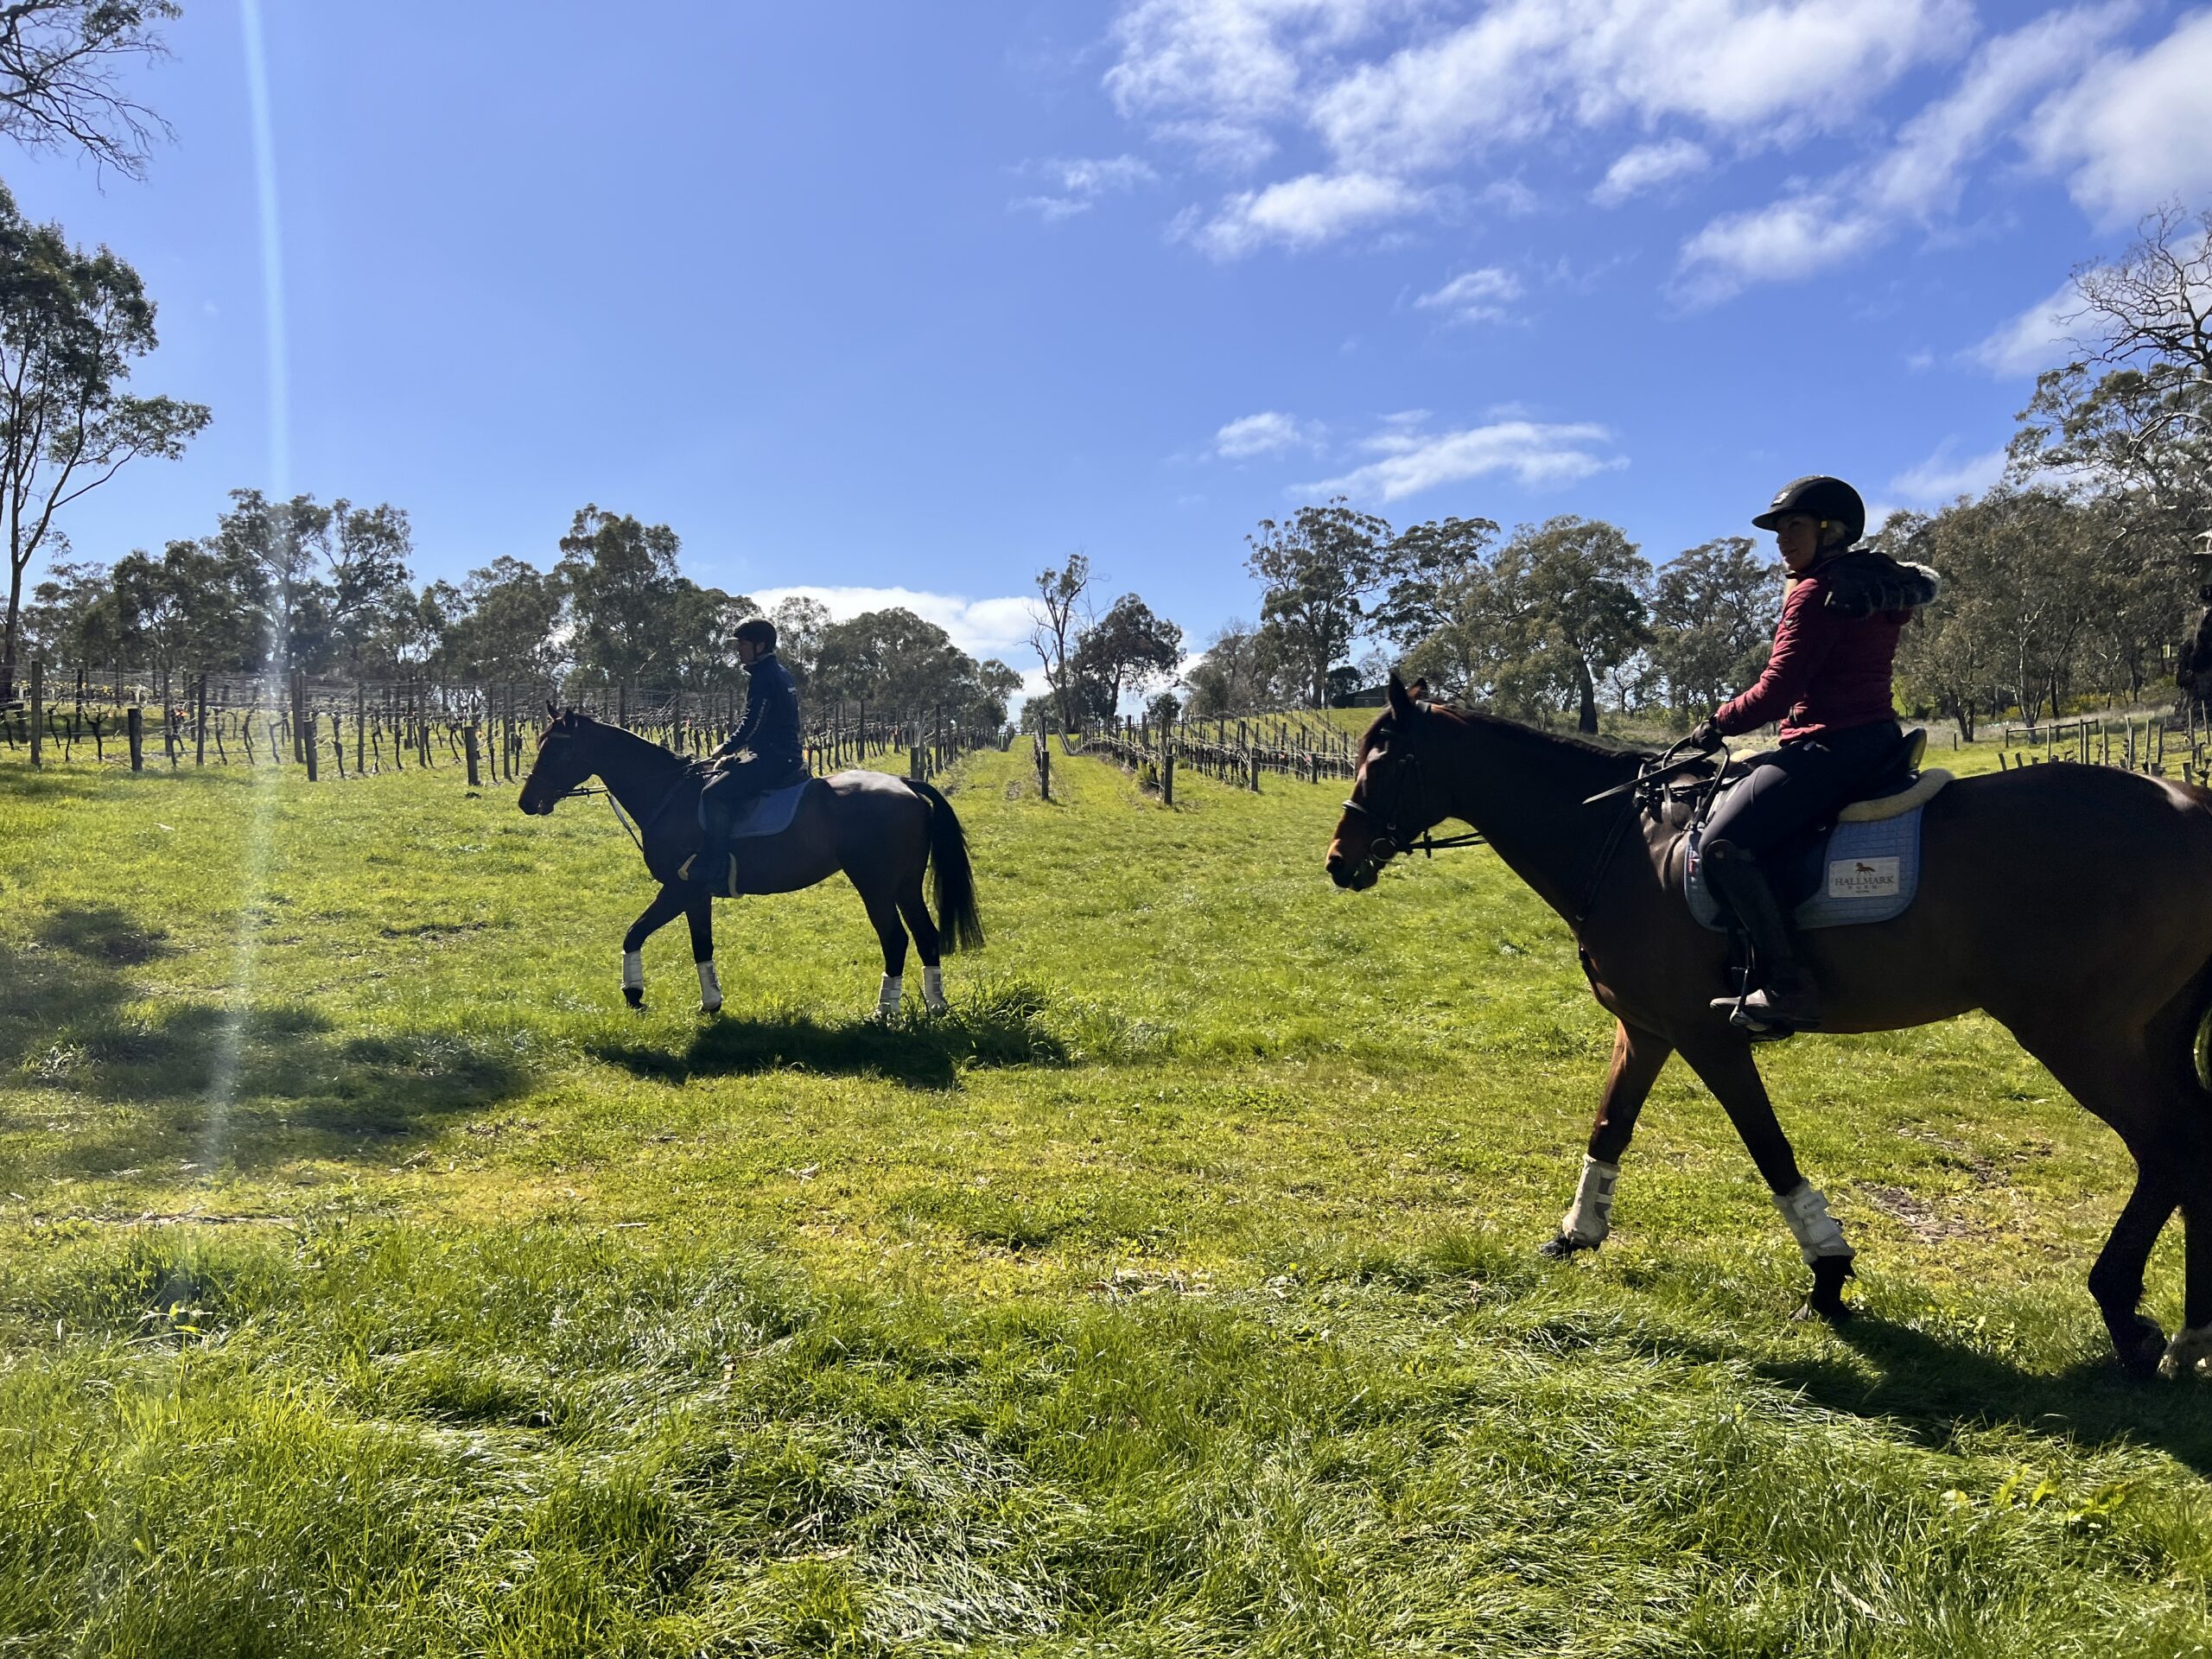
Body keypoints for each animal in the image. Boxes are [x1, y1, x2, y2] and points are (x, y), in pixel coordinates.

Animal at [512, 708, 982, 1021]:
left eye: (557, 751)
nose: (527, 802)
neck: (670, 793)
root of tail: (906, 783)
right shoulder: (695, 894)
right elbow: (701, 944)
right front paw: (710, 1002)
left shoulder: (680, 888)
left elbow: (635, 932)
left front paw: (633, 992)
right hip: (904, 885)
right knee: (926, 936)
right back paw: (936, 1007)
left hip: (876, 885)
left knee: (896, 940)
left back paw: (884, 1013)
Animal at [1327, 668, 2212, 1380]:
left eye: (1384, 763)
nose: (1338, 862)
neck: (1625, 842)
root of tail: (2188, 805)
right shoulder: (1646, 1029)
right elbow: (1610, 1125)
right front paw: (1575, 1235)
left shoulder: (1706, 1036)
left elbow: (1769, 1149)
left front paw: (1828, 1272)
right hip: (2149, 1037)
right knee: (2186, 1146)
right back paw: (2174, 1330)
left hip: (2082, 1037)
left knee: (2171, 1151)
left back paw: (2138, 1321)